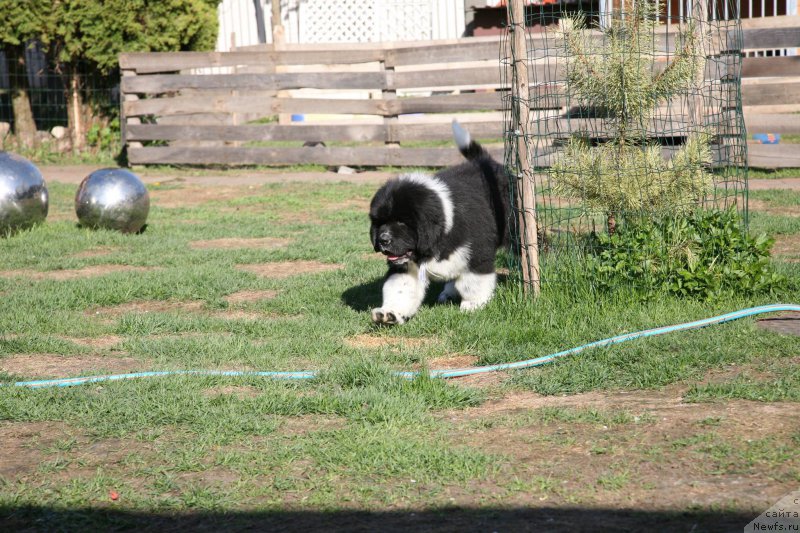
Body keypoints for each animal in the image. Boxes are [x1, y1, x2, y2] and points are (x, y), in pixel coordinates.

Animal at [368, 121, 510, 326]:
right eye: (380, 223)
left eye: (402, 222)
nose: (383, 240)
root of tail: (484, 162)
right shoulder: (406, 266)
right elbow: (399, 288)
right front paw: (389, 313)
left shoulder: (477, 254)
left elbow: (473, 283)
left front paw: (472, 305)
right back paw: (448, 292)